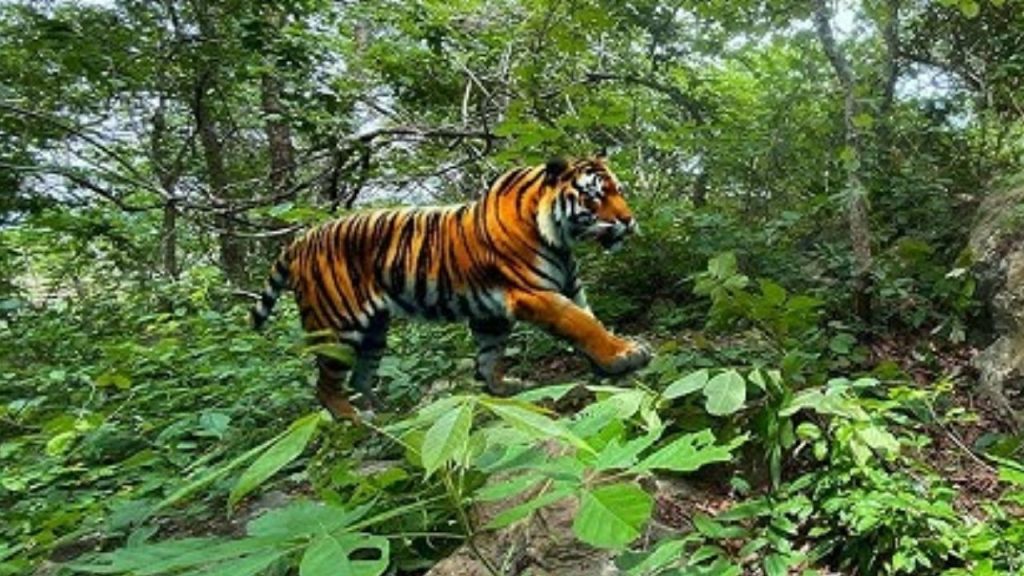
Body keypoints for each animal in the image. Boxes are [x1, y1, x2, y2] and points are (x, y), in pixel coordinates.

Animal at [251, 155, 651, 420]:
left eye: (619, 191)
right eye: (595, 196)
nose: (629, 220)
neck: (560, 240)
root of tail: (299, 241)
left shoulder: (515, 304)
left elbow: (492, 354)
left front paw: (502, 389)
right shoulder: (533, 293)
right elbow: (582, 323)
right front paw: (624, 355)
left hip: (374, 330)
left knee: (362, 375)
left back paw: (383, 414)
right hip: (337, 328)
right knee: (325, 385)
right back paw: (353, 421)